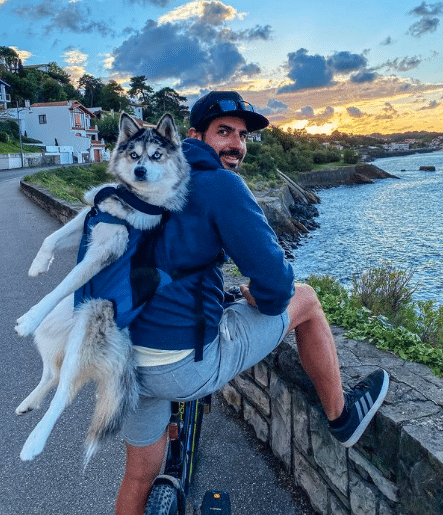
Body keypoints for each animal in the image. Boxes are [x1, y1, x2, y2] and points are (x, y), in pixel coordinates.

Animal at [13, 114, 190, 468]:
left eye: (156, 156)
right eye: (134, 155)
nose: (139, 171)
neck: (134, 199)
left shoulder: (104, 251)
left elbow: (64, 284)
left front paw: (29, 317)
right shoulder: (90, 216)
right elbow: (52, 238)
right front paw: (39, 265)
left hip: (86, 333)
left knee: (65, 390)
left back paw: (35, 441)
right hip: (55, 329)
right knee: (52, 374)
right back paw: (30, 401)